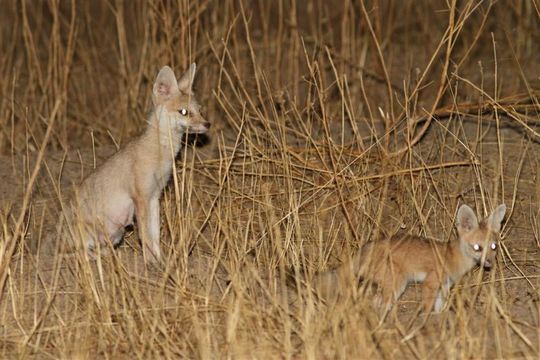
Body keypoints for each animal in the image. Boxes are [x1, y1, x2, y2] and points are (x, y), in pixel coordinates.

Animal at [57, 64, 209, 264]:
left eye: (200, 110)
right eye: (184, 112)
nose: (207, 124)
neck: (159, 153)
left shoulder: (154, 197)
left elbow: (155, 236)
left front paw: (160, 261)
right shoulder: (140, 198)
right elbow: (145, 237)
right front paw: (151, 264)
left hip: (116, 234)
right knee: (72, 254)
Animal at [312, 204, 506, 314]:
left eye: (493, 247)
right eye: (477, 248)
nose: (490, 263)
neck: (453, 257)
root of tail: (364, 249)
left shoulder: (444, 285)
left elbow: (439, 306)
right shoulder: (431, 283)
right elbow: (427, 307)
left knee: (376, 302)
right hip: (398, 284)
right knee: (381, 304)